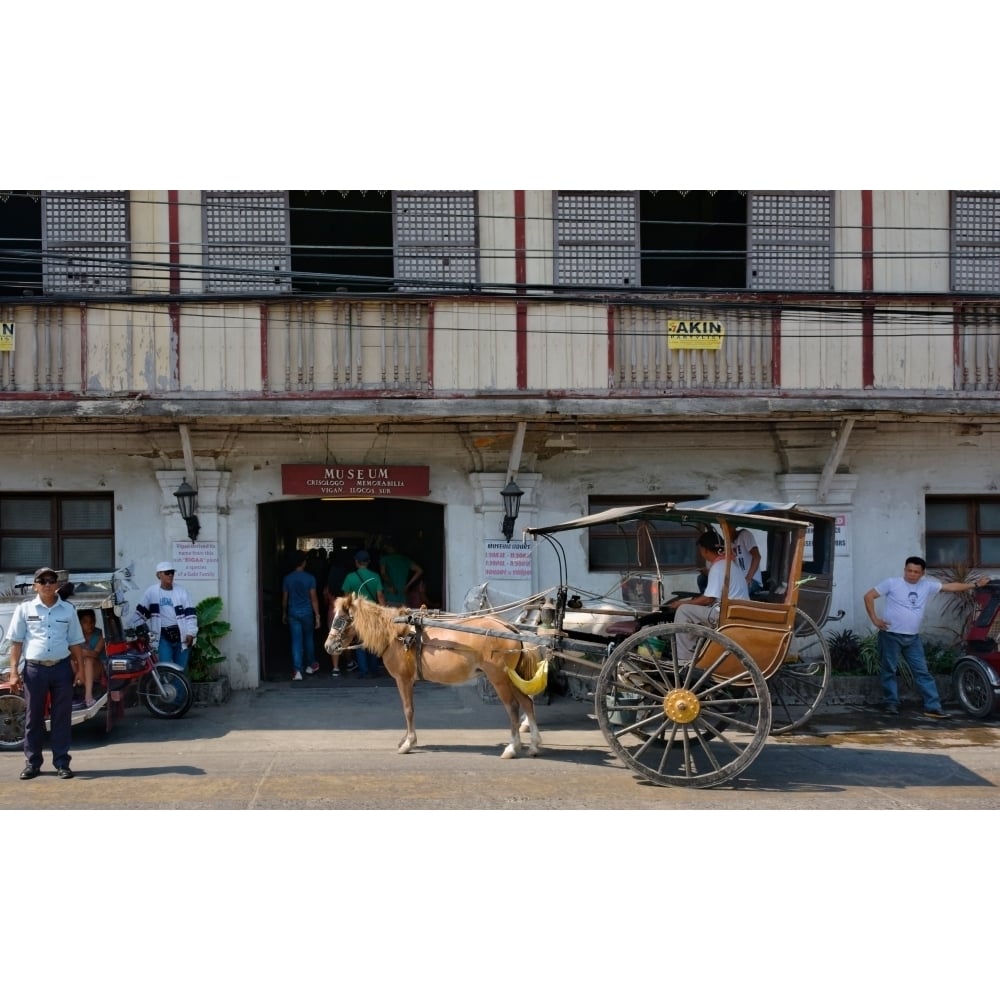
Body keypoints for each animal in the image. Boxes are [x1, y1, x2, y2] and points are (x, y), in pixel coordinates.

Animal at [324, 592, 544, 756]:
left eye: (341, 619)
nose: (328, 646)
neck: (397, 634)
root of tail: (510, 628)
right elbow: (409, 709)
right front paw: (405, 739)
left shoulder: (403, 679)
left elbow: (408, 710)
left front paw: (409, 743)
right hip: (511, 677)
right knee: (527, 703)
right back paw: (533, 745)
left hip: (499, 678)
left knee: (513, 707)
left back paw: (512, 747)